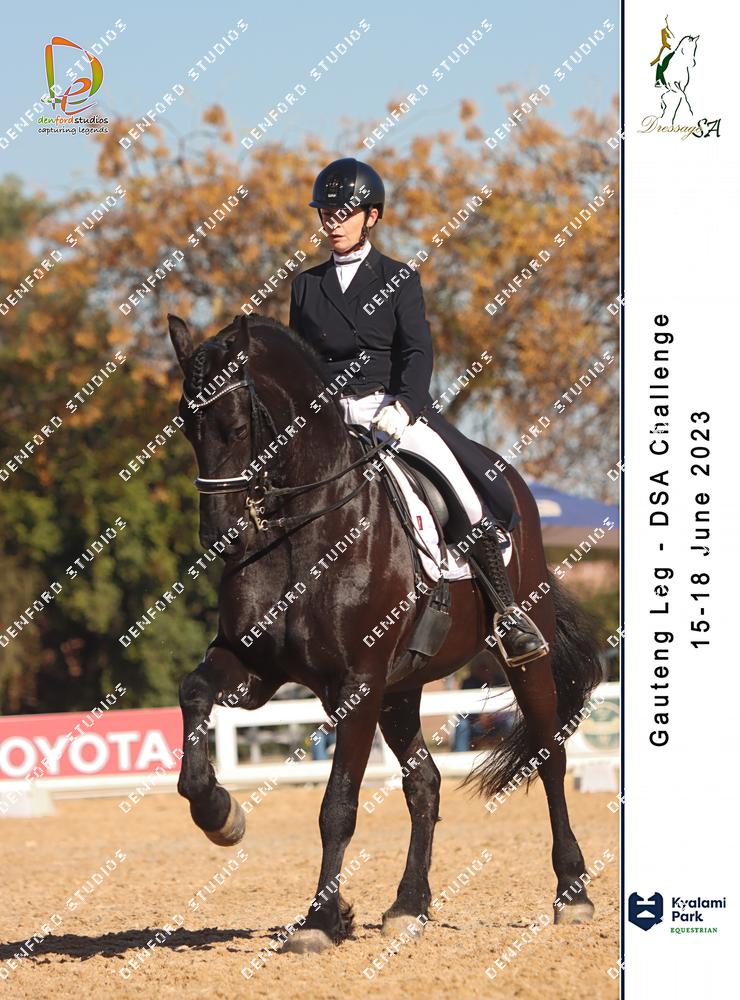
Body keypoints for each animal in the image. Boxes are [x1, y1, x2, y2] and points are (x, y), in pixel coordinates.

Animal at [167, 310, 603, 953]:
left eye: (238, 425)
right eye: (186, 427)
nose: (221, 537)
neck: (303, 526)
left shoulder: (358, 683)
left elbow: (338, 806)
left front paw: (319, 921)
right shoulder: (256, 668)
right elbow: (193, 693)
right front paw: (221, 815)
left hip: (522, 659)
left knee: (549, 756)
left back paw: (572, 894)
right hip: (402, 689)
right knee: (425, 782)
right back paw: (408, 905)